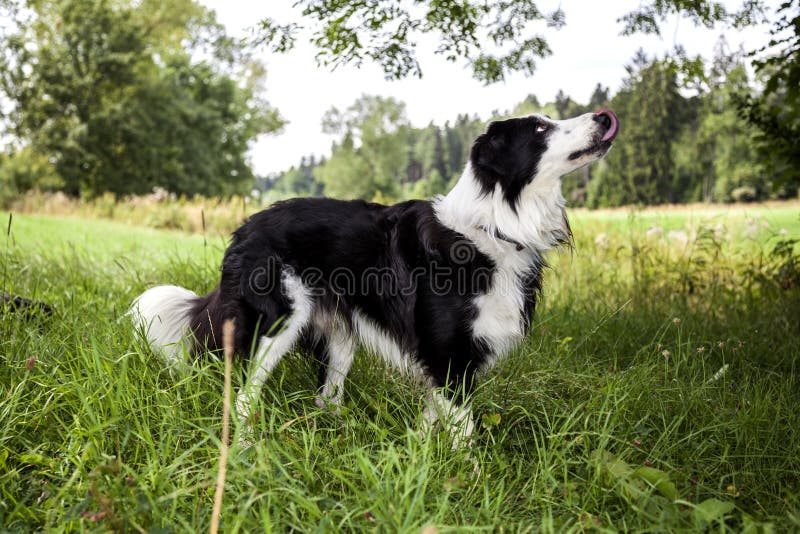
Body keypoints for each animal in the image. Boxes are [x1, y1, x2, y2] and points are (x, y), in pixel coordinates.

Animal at [130, 110, 620, 448]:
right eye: (539, 129)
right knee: (245, 392)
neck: (494, 227)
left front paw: (421, 460)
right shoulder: (449, 354)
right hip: (278, 319)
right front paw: (468, 479)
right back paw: (248, 446)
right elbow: (462, 429)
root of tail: (245, 226)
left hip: (340, 333)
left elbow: (432, 418)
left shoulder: (440, 361)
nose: (603, 116)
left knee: (326, 397)